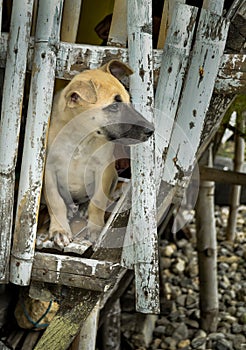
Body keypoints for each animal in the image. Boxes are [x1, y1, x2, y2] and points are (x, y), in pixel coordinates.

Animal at [42, 58, 154, 247]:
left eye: (129, 101)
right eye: (114, 106)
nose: (151, 131)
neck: (81, 138)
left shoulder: (104, 170)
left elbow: (98, 201)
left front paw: (95, 230)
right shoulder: (48, 171)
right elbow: (55, 202)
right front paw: (60, 230)